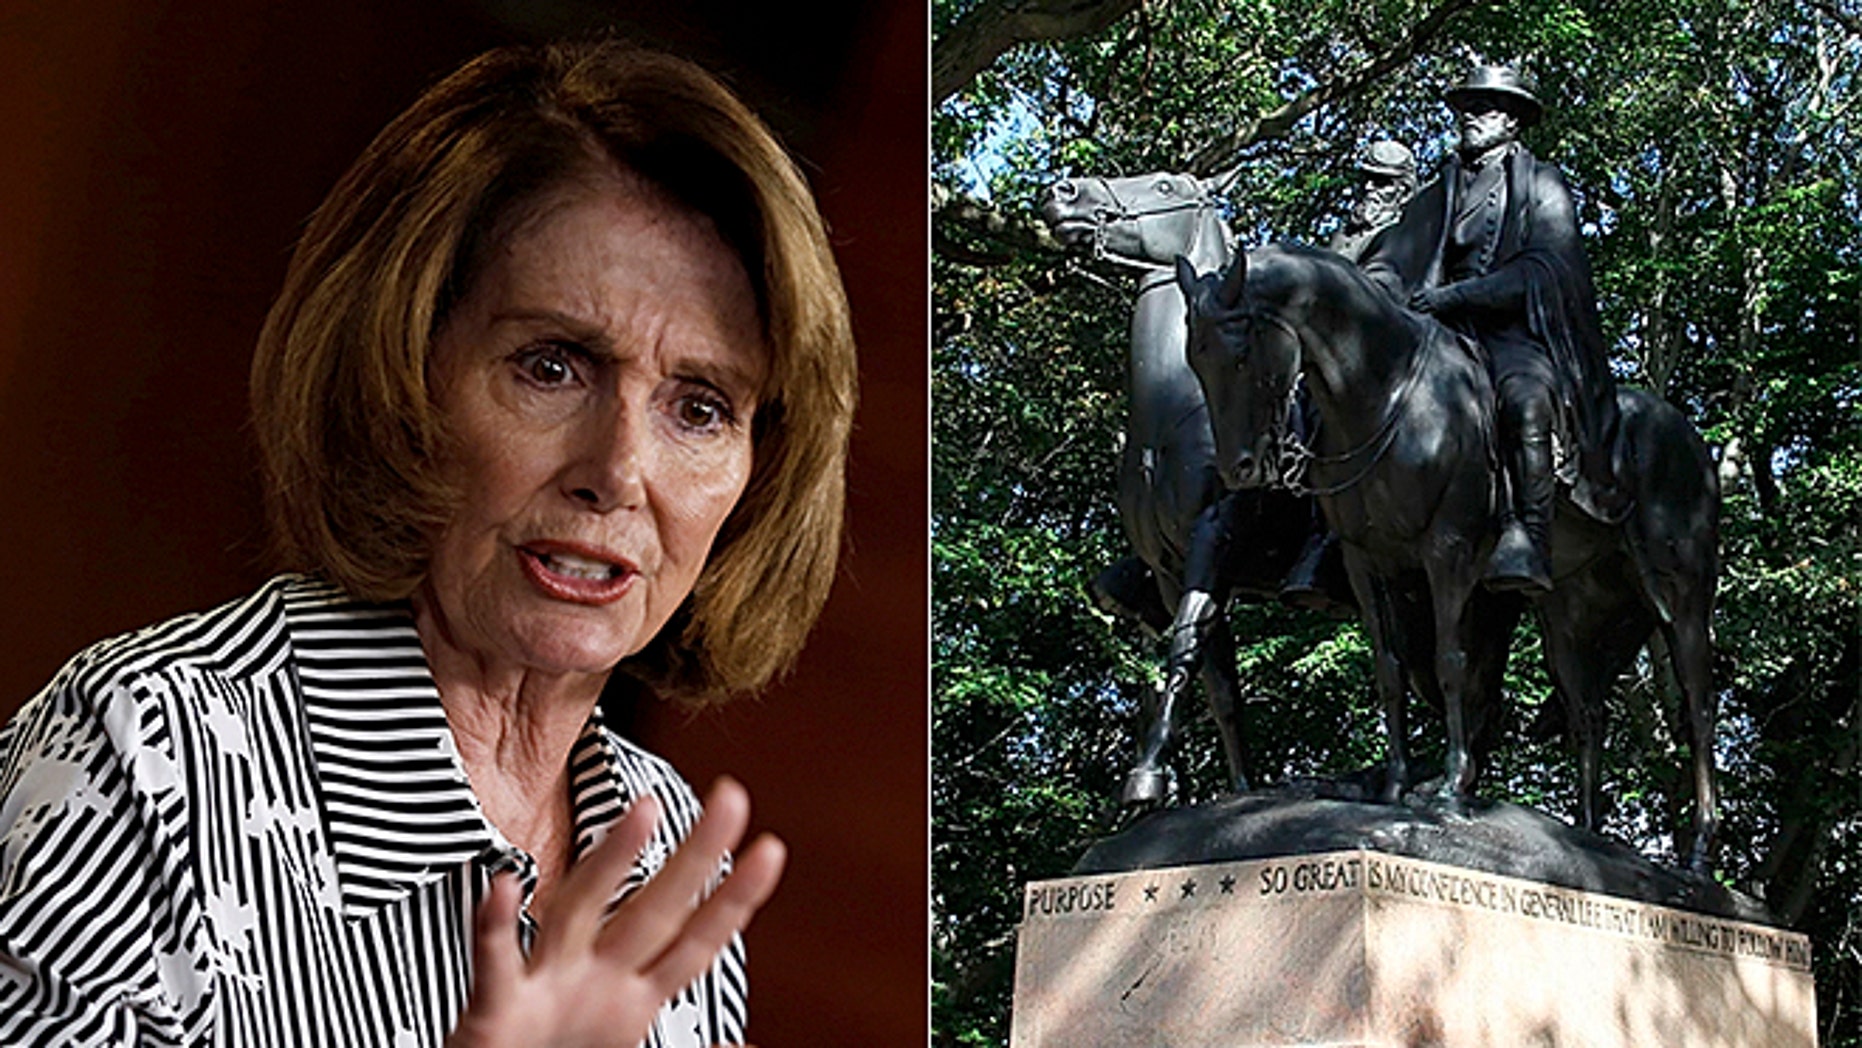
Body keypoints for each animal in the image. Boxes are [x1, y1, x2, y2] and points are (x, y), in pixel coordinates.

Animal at [1042, 175, 1348, 807]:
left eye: (1164, 185)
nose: (1065, 191)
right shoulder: (1168, 567)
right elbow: (1218, 682)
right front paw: (1239, 789)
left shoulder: (1215, 537)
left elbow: (1186, 644)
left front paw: (1144, 780)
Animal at [1184, 245, 1720, 871]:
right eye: (1195, 360)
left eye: (1242, 353)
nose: (1239, 469)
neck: (1390, 395)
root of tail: (1690, 439)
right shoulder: (1368, 563)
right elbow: (1390, 669)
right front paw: (1395, 784)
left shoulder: (1449, 552)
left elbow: (1451, 664)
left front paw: (1450, 790)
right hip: (1573, 612)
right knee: (1588, 711)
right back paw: (1589, 839)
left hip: (1682, 597)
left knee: (1698, 706)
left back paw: (1700, 851)